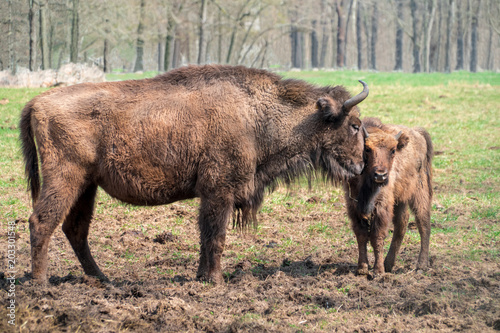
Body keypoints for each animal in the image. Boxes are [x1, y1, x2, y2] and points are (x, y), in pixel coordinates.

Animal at [344, 116, 434, 274]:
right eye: (367, 149)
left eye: (392, 150)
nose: (380, 175)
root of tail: (418, 133)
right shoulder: (353, 206)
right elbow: (361, 234)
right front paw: (362, 269)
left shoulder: (382, 206)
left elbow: (377, 236)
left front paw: (378, 271)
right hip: (401, 198)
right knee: (401, 224)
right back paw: (389, 264)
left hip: (419, 192)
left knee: (423, 223)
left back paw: (421, 266)